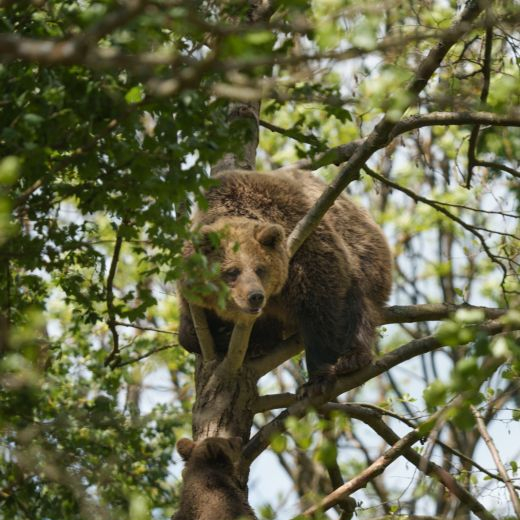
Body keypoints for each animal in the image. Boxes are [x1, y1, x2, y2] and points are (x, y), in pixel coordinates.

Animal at [179, 171, 390, 378]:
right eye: (232, 272)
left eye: (260, 268)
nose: (255, 296)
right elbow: (190, 330)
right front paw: (213, 335)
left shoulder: (303, 244)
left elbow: (321, 301)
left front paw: (320, 373)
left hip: (364, 256)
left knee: (358, 304)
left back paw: (352, 358)